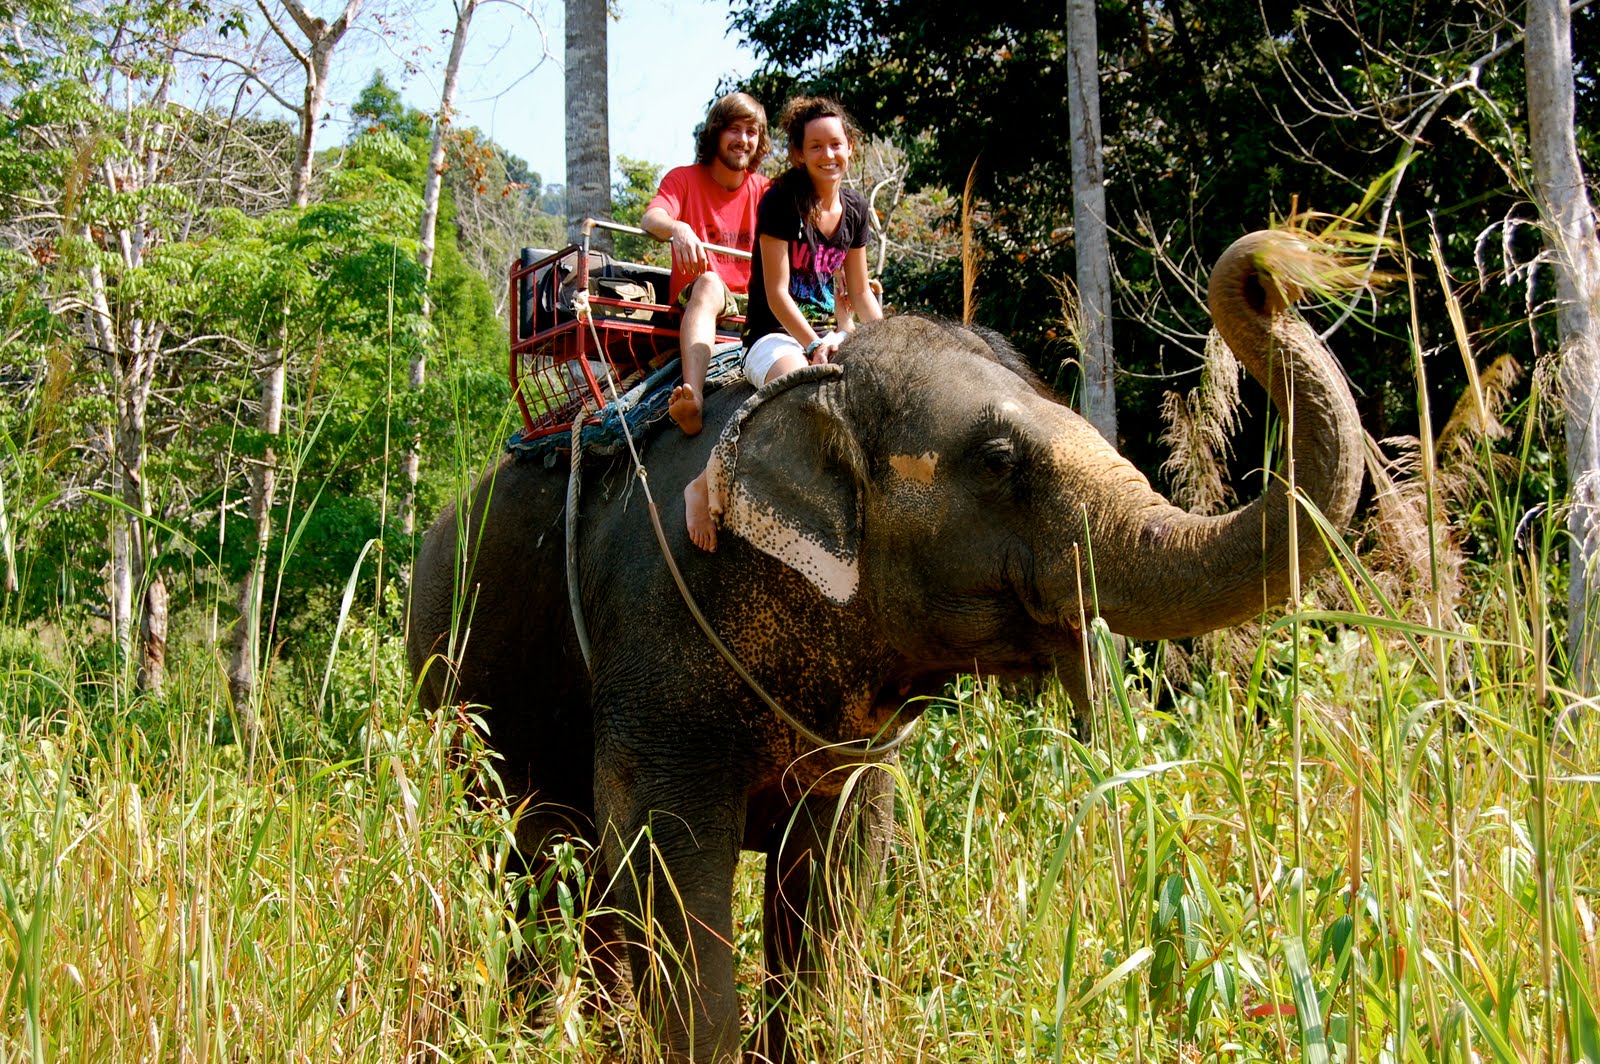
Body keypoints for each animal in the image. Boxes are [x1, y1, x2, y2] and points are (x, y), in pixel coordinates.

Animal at [403, 228, 1363, 1056]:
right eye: (1000, 461)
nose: (1271, 269)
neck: (815, 384)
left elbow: (837, 869)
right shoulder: (655, 637)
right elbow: (667, 862)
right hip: (454, 697)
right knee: (522, 862)